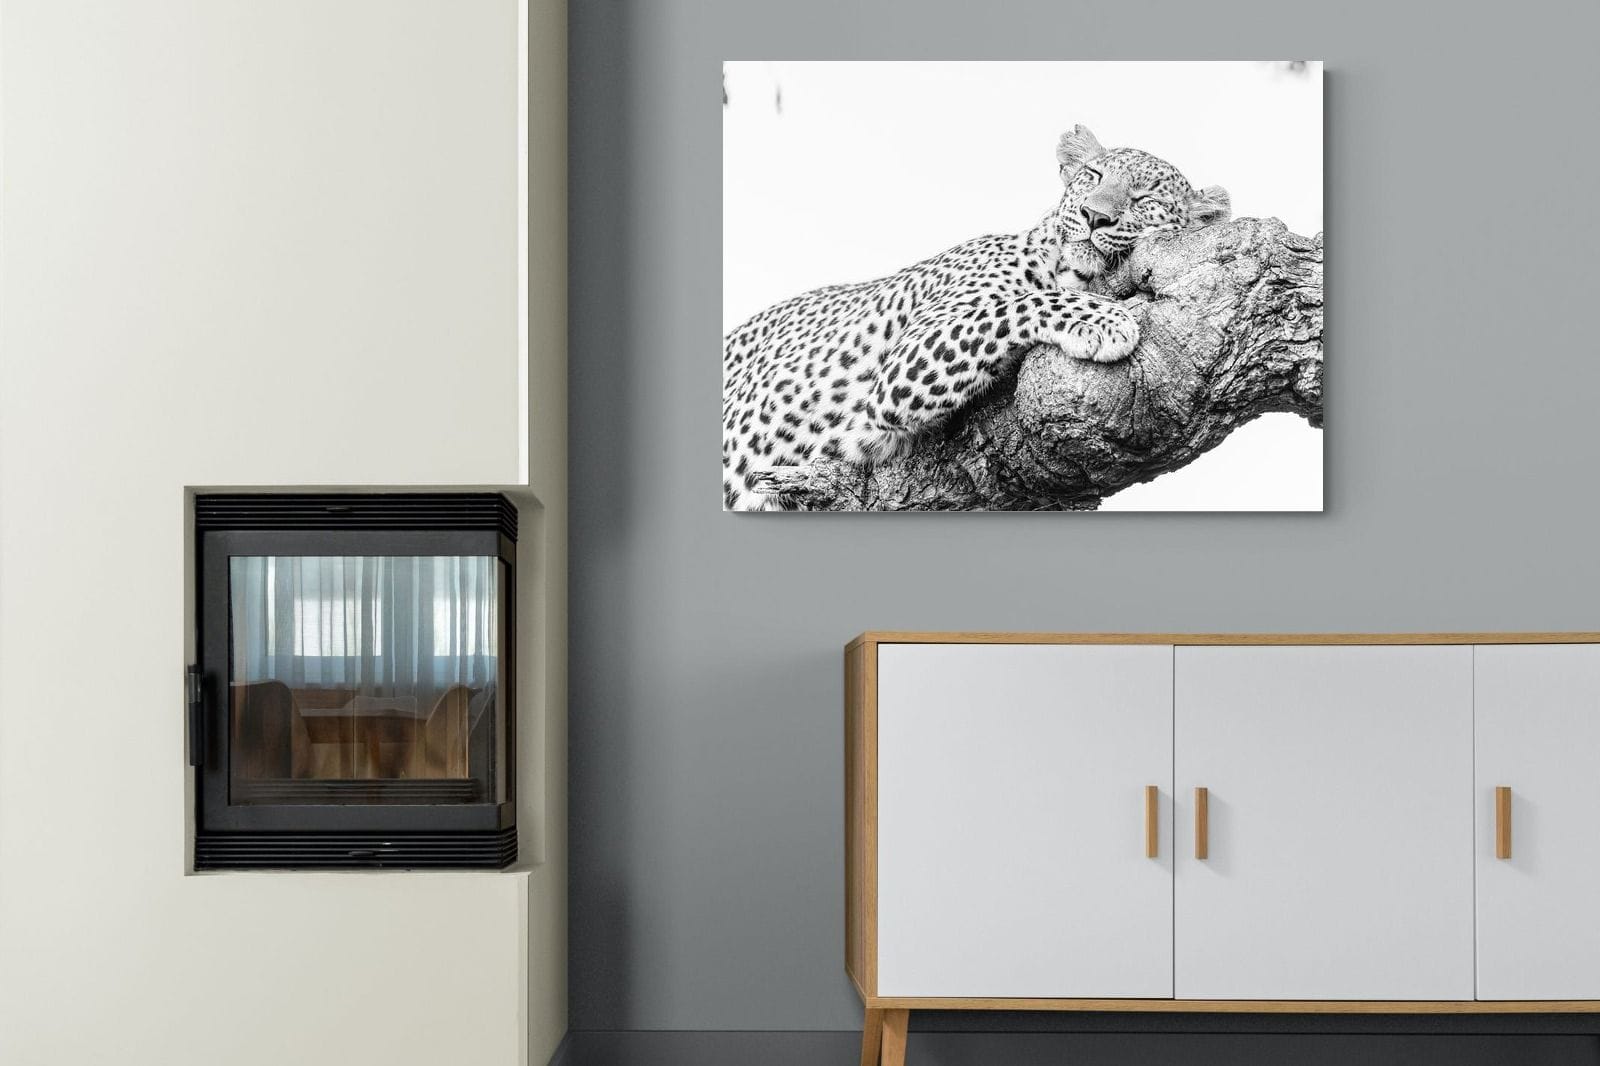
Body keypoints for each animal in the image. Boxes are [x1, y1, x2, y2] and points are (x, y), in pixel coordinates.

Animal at [721, 124, 1231, 511]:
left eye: (1145, 198)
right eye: (1093, 175)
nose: (1094, 216)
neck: (1065, 265)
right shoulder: (902, 367)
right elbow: (1017, 304)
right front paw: (1105, 319)